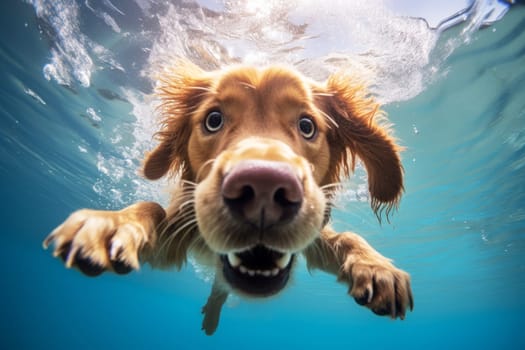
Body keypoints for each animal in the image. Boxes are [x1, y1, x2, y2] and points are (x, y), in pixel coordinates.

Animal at [43, 60, 412, 334]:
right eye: (213, 119)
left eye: (307, 126)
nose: (263, 187)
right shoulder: (177, 234)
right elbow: (152, 208)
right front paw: (114, 224)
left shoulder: (311, 238)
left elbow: (348, 237)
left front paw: (376, 268)